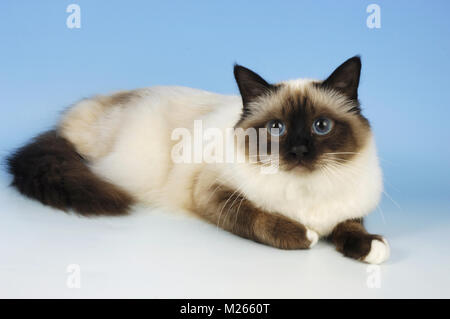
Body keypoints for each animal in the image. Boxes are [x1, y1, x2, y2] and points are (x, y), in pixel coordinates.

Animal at [6, 55, 390, 264]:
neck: (305, 193)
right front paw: (304, 235)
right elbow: (259, 219)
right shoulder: (215, 193)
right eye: (276, 128)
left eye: (320, 126)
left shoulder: (350, 208)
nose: (298, 152)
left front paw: (372, 248)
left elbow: (350, 226)